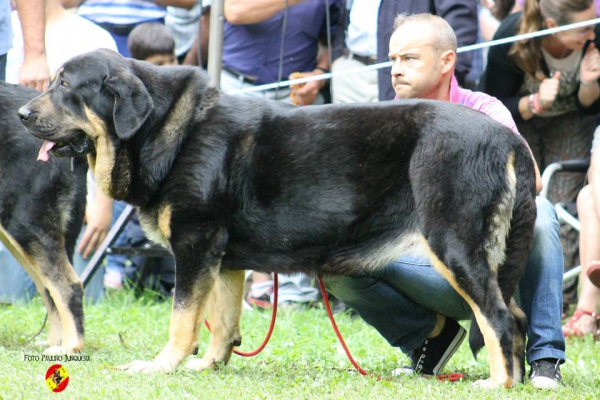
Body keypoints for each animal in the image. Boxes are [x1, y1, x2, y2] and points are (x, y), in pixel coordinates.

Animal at [21, 49, 540, 388]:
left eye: (65, 86)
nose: (23, 113)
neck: (165, 130)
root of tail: (509, 138)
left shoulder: (195, 244)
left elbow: (183, 319)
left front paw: (162, 365)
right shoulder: (225, 260)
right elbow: (222, 322)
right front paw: (210, 366)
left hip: (453, 246)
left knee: (497, 317)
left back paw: (498, 383)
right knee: (514, 317)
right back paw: (516, 380)